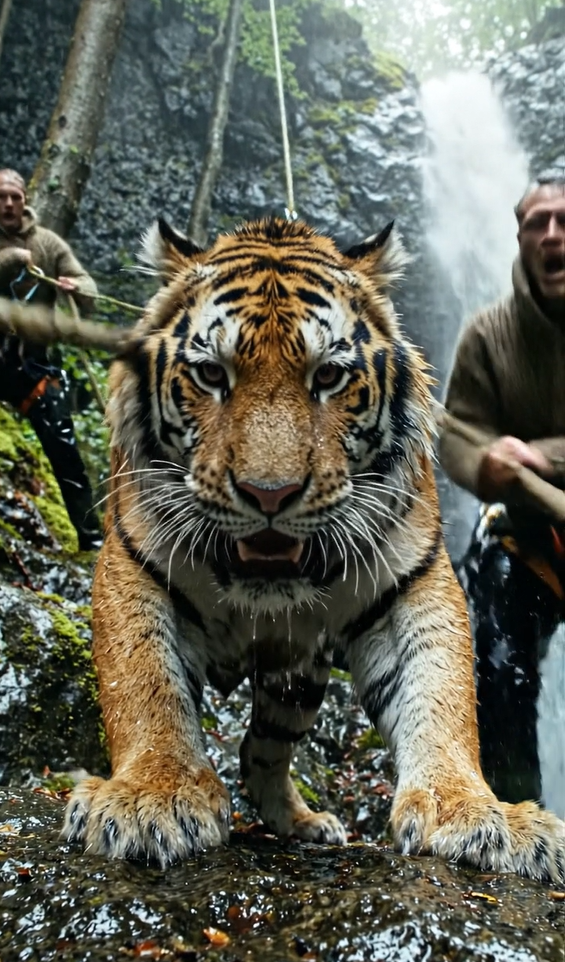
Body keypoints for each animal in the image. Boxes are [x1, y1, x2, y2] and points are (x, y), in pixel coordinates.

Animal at [61, 216, 564, 883]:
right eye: (211, 375)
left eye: (328, 376)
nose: (268, 494)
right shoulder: (133, 563)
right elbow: (145, 686)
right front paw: (153, 796)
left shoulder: (413, 580)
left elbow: (442, 695)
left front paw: (473, 812)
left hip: (295, 684)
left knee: (259, 749)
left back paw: (301, 823)